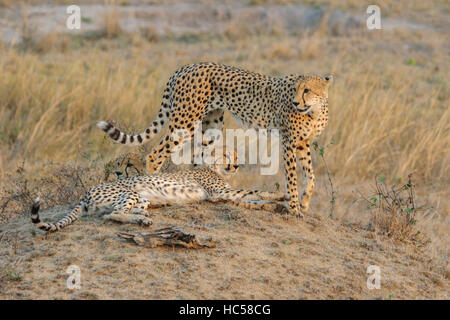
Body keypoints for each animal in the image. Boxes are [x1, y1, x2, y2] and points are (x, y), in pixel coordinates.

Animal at [29, 151, 286, 232]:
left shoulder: (226, 194)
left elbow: (253, 199)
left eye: (235, 155)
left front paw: (276, 205)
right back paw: (141, 220)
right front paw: (281, 197)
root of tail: (86, 191)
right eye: (226, 155)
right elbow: (254, 192)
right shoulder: (219, 194)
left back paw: (144, 215)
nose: (236, 165)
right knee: (112, 215)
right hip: (130, 192)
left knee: (118, 212)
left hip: (141, 197)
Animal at [97, 62, 330, 218]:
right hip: (185, 121)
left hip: (212, 125)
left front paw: (305, 203)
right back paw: (154, 186)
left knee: (198, 156)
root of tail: (186, 67)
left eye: (307, 90)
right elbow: (292, 177)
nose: (295, 102)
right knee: (156, 155)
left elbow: (310, 175)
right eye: (296, 89)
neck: (314, 110)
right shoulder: (289, 142)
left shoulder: (303, 142)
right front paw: (295, 208)